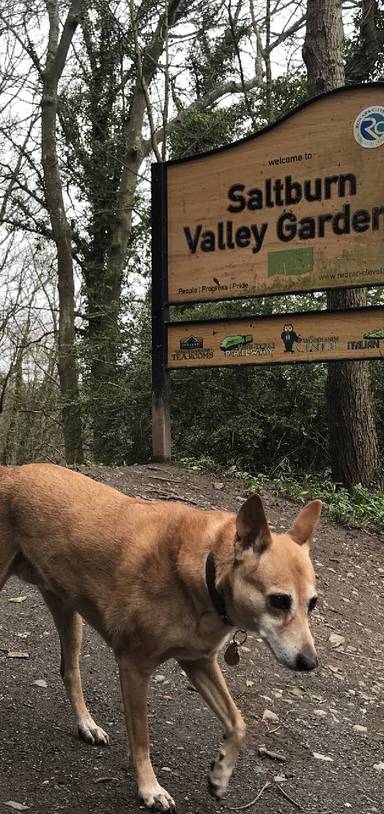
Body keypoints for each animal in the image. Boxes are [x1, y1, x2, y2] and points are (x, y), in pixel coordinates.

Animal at [0, 462, 320, 812]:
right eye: (280, 600)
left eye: (313, 603)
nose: (310, 662)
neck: (206, 574)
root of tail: (11, 471)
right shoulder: (134, 667)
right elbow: (141, 739)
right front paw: (149, 788)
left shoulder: (199, 661)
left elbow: (238, 723)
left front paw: (220, 774)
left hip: (69, 614)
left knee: (69, 671)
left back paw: (87, 725)